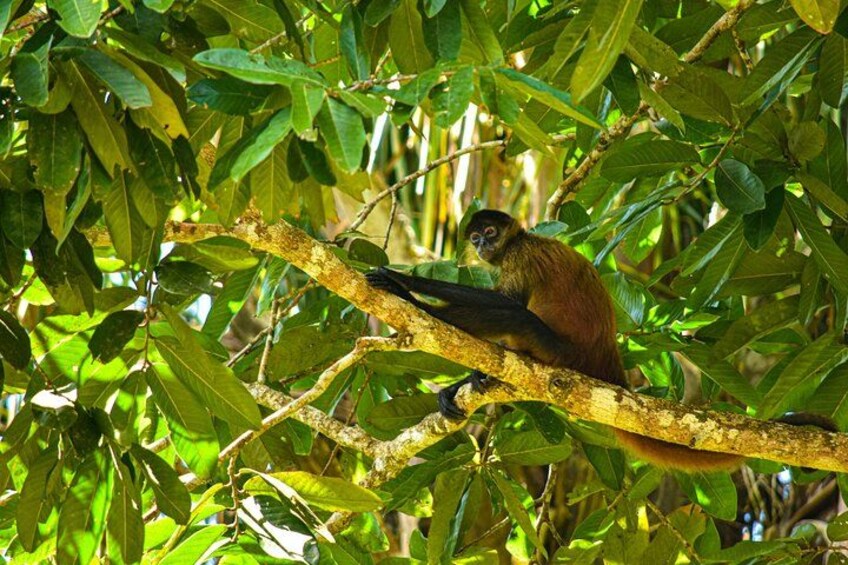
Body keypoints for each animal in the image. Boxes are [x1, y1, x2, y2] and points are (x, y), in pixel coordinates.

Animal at [366, 209, 745, 472]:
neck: (519, 240)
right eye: (474, 238)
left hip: (560, 350)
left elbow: (508, 302)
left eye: (490, 232)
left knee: (516, 316)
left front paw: (405, 285)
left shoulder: (521, 255)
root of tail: (604, 353)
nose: (483, 245)